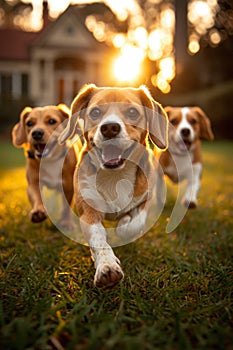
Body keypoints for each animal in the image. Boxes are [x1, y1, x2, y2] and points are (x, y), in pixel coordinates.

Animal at [59, 83, 168, 288]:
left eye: (132, 112)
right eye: (95, 112)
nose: (110, 128)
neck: (115, 176)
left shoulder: (144, 200)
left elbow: (134, 224)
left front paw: (123, 225)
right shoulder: (89, 214)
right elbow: (99, 240)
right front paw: (106, 266)